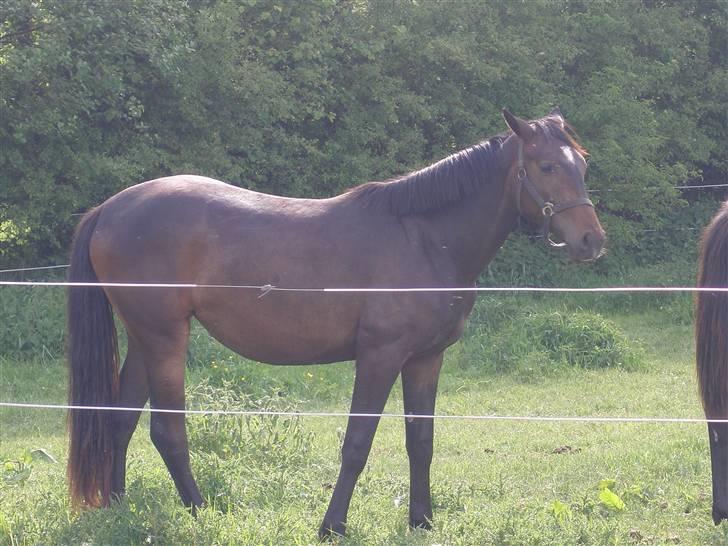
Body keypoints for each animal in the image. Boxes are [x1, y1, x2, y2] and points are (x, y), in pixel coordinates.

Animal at [67, 108, 604, 536]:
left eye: (582, 164)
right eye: (547, 166)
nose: (591, 241)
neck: (425, 238)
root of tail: (109, 209)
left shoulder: (426, 359)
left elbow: (421, 442)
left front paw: (422, 520)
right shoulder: (380, 356)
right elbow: (357, 444)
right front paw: (333, 526)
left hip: (145, 339)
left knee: (120, 419)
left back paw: (117, 507)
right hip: (165, 340)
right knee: (167, 431)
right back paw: (201, 511)